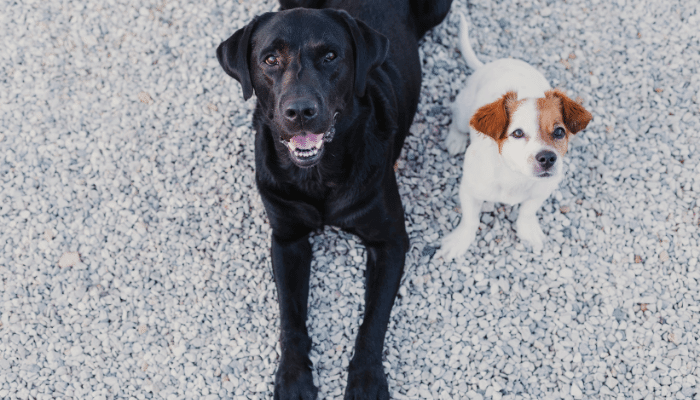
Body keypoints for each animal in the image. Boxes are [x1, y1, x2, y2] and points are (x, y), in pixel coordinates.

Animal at [216, 1, 452, 398]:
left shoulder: (390, 241)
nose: (299, 111)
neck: (317, 176)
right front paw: (293, 376)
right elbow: (290, 316)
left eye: (330, 56)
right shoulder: (287, 238)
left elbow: (373, 319)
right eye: (270, 59)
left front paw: (367, 378)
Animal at [440, 12, 592, 260]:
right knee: (457, 122)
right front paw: (460, 241)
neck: (514, 176)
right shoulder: (469, 190)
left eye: (559, 131)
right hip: (463, 112)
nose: (548, 158)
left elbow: (527, 211)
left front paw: (528, 230)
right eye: (517, 133)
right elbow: (470, 220)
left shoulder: (544, 189)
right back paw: (455, 139)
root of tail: (491, 65)